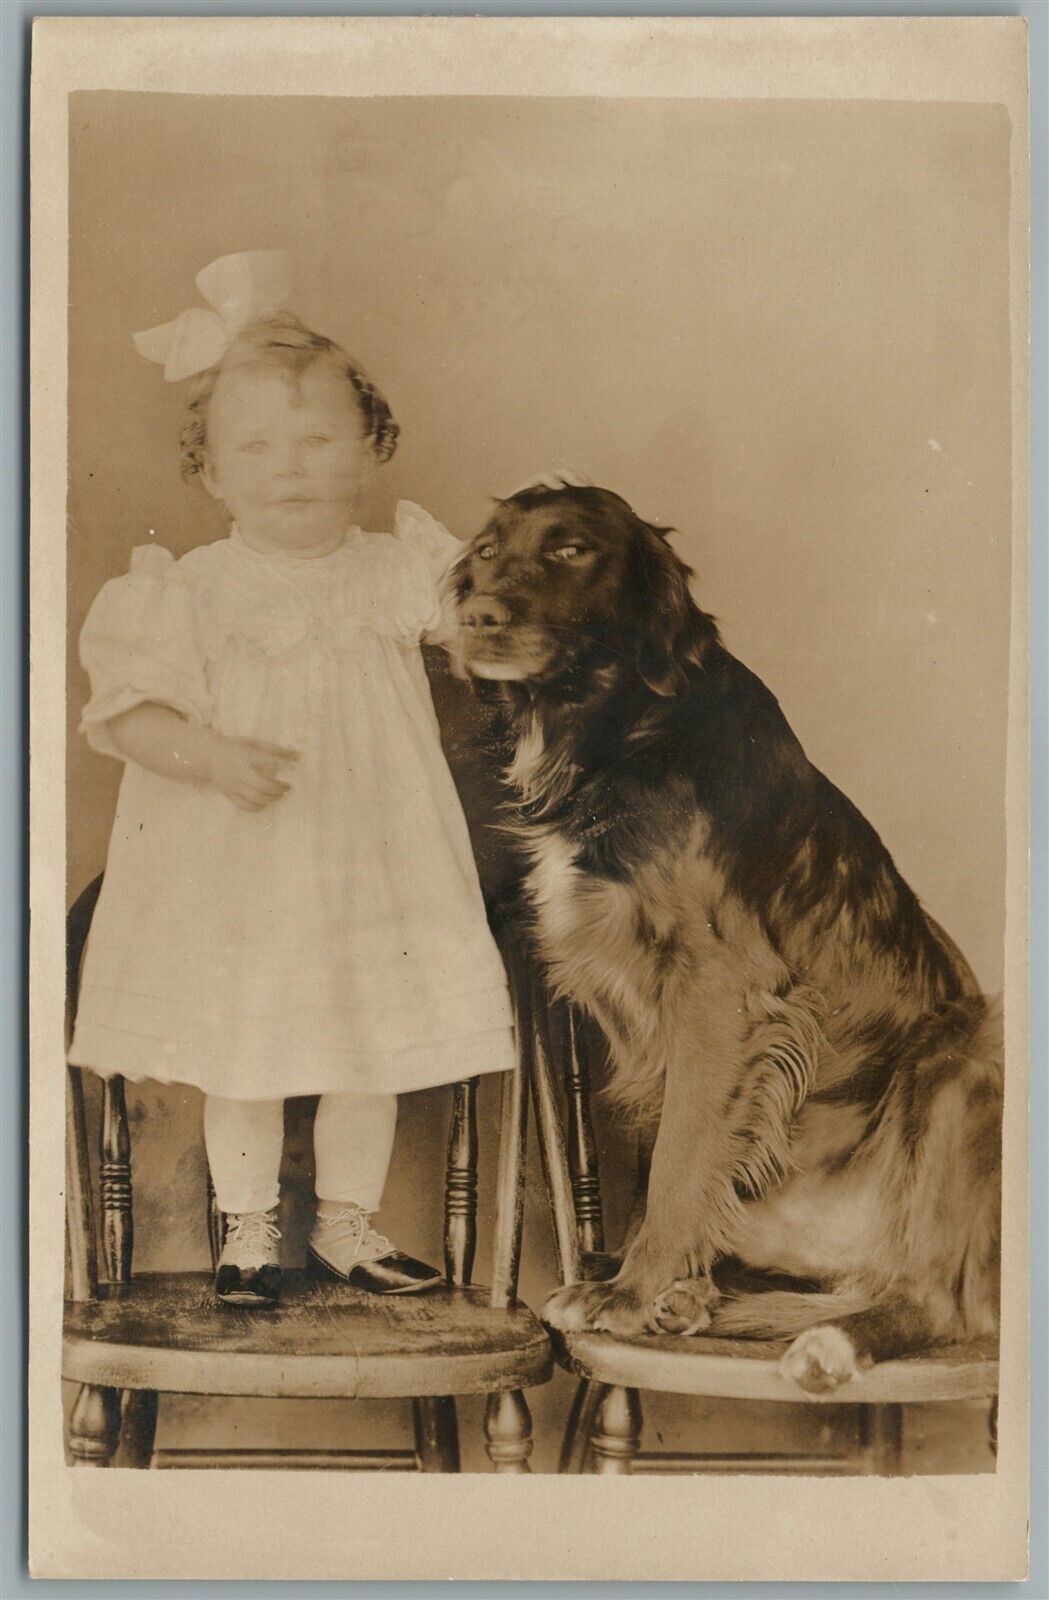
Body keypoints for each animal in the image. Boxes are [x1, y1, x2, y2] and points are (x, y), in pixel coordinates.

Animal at [447, 483, 997, 1388]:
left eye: (570, 550)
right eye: (488, 551)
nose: (477, 617)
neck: (616, 725)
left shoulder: (717, 991)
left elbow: (676, 1161)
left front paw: (627, 1293)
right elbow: (672, 1162)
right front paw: (650, 1285)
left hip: (959, 1062)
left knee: (935, 1301)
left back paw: (826, 1342)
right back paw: (705, 1302)